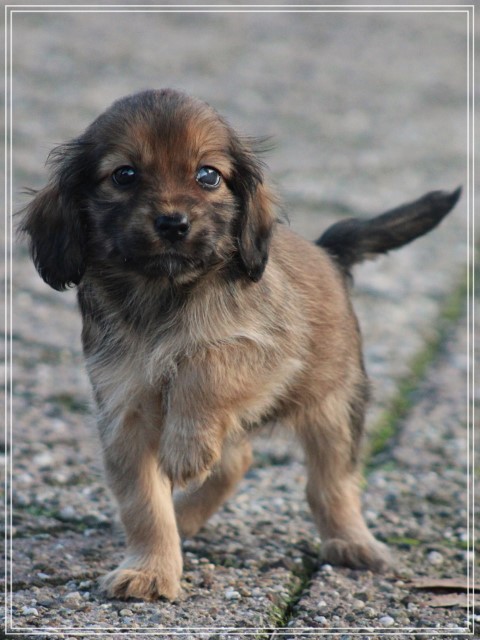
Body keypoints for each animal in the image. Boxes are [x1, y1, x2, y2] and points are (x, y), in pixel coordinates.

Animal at [19, 89, 462, 600]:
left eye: (208, 175)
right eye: (124, 175)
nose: (173, 223)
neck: (164, 293)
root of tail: (329, 251)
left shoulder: (268, 353)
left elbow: (205, 361)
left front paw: (183, 450)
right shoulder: (123, 410)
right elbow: (144, 504)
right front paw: (151, 570)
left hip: (333, 407)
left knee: (332, 483)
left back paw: (352, 543)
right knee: (236, 460)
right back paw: (186, 517)